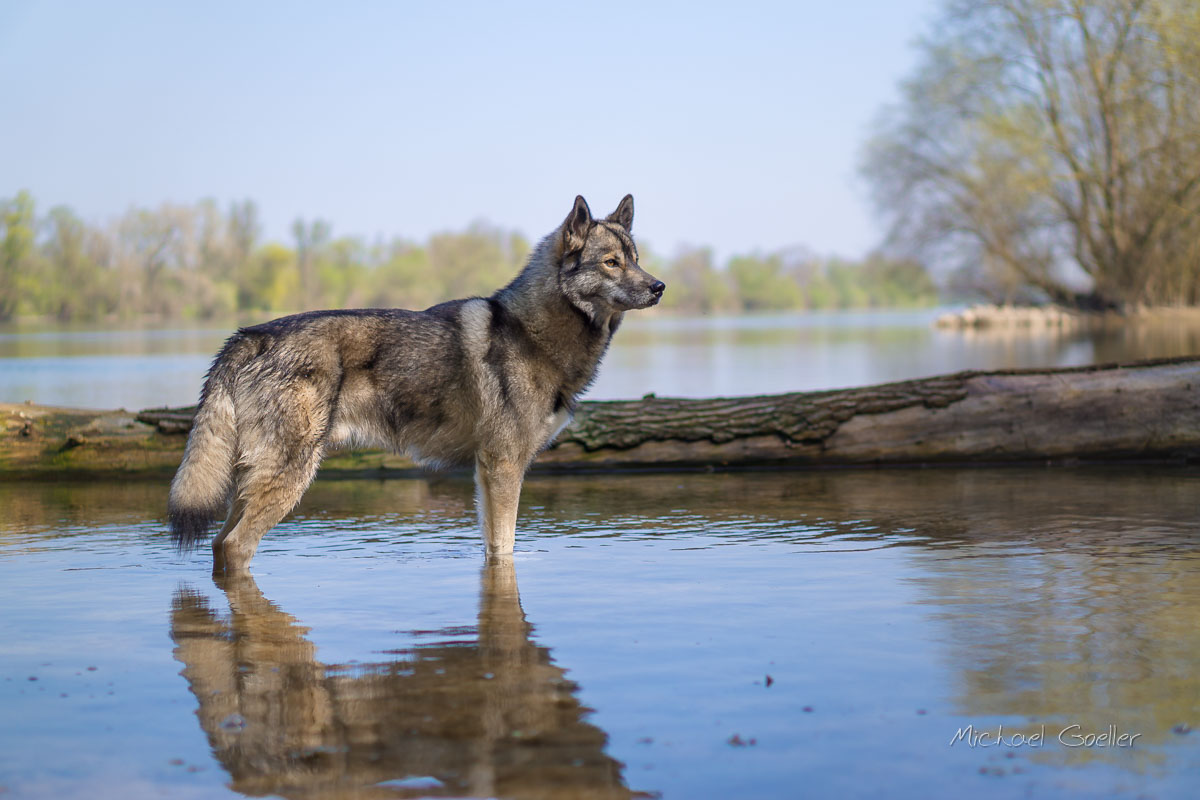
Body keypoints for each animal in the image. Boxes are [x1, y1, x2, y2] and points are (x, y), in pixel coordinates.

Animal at [166, 194, 667, 573]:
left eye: (637, 260)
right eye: (611, 262)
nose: (659, 286)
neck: (533, 332)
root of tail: (249, 336)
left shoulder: (486, 474)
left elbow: (494, 550)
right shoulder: (504, 467)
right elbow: (505, 546)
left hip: (252, 483)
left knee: (220, 545)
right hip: (289, 479)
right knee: (236, 546)